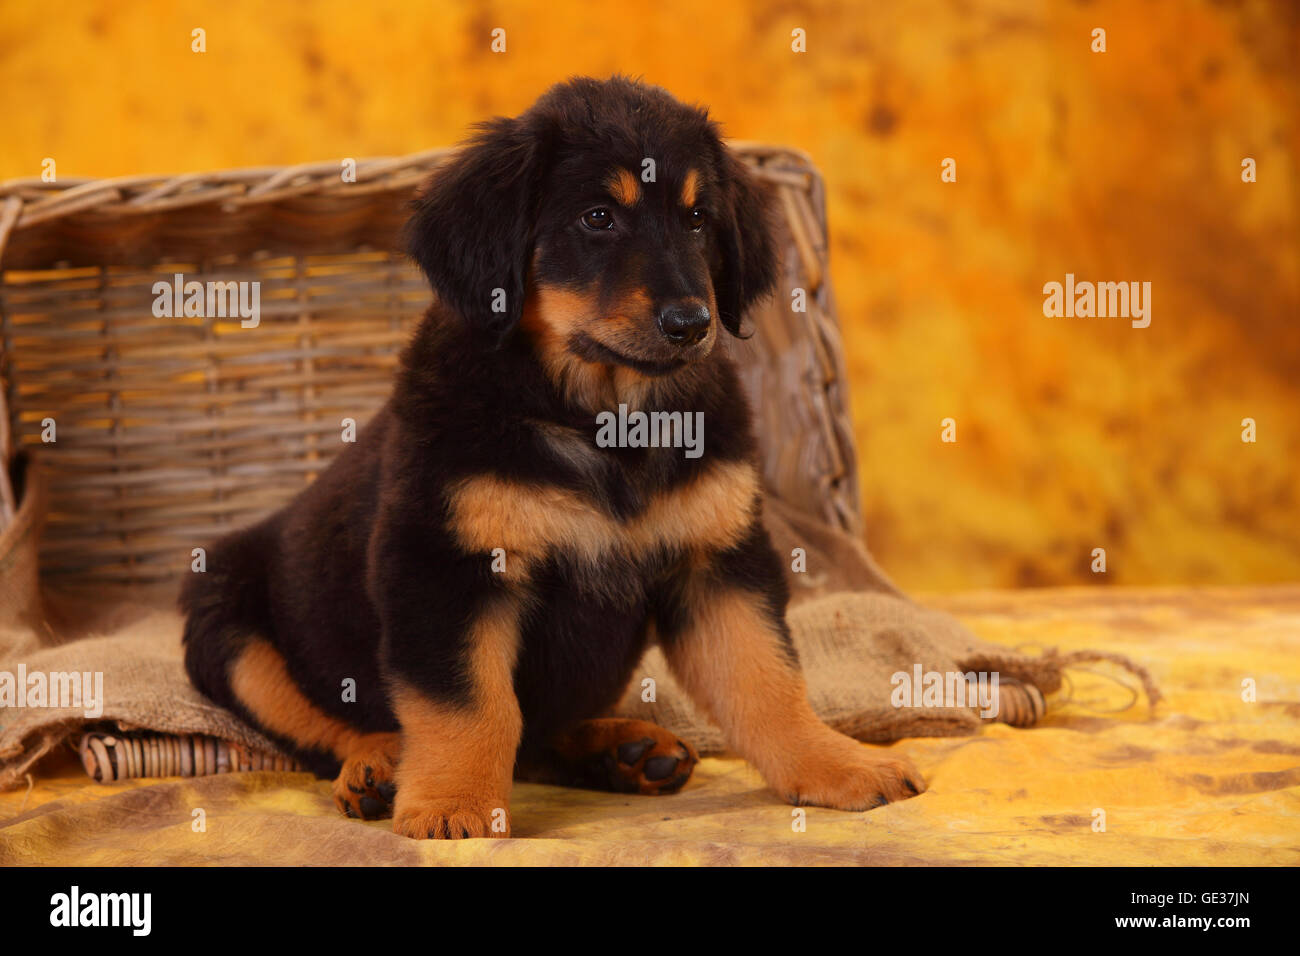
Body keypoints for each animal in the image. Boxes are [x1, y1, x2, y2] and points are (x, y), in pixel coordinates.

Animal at [180, 76, 925, 837]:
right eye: (598, 217)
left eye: (697, 219)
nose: (693, 324)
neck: (605, 424)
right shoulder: (444, 567)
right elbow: (470, 704)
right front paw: (452, 806)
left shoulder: (717, 562)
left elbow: (768, 680)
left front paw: (837, 764)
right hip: (226, 629)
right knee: (328, 730)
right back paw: (380, 768)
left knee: (538, 738)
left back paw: (622, 751)